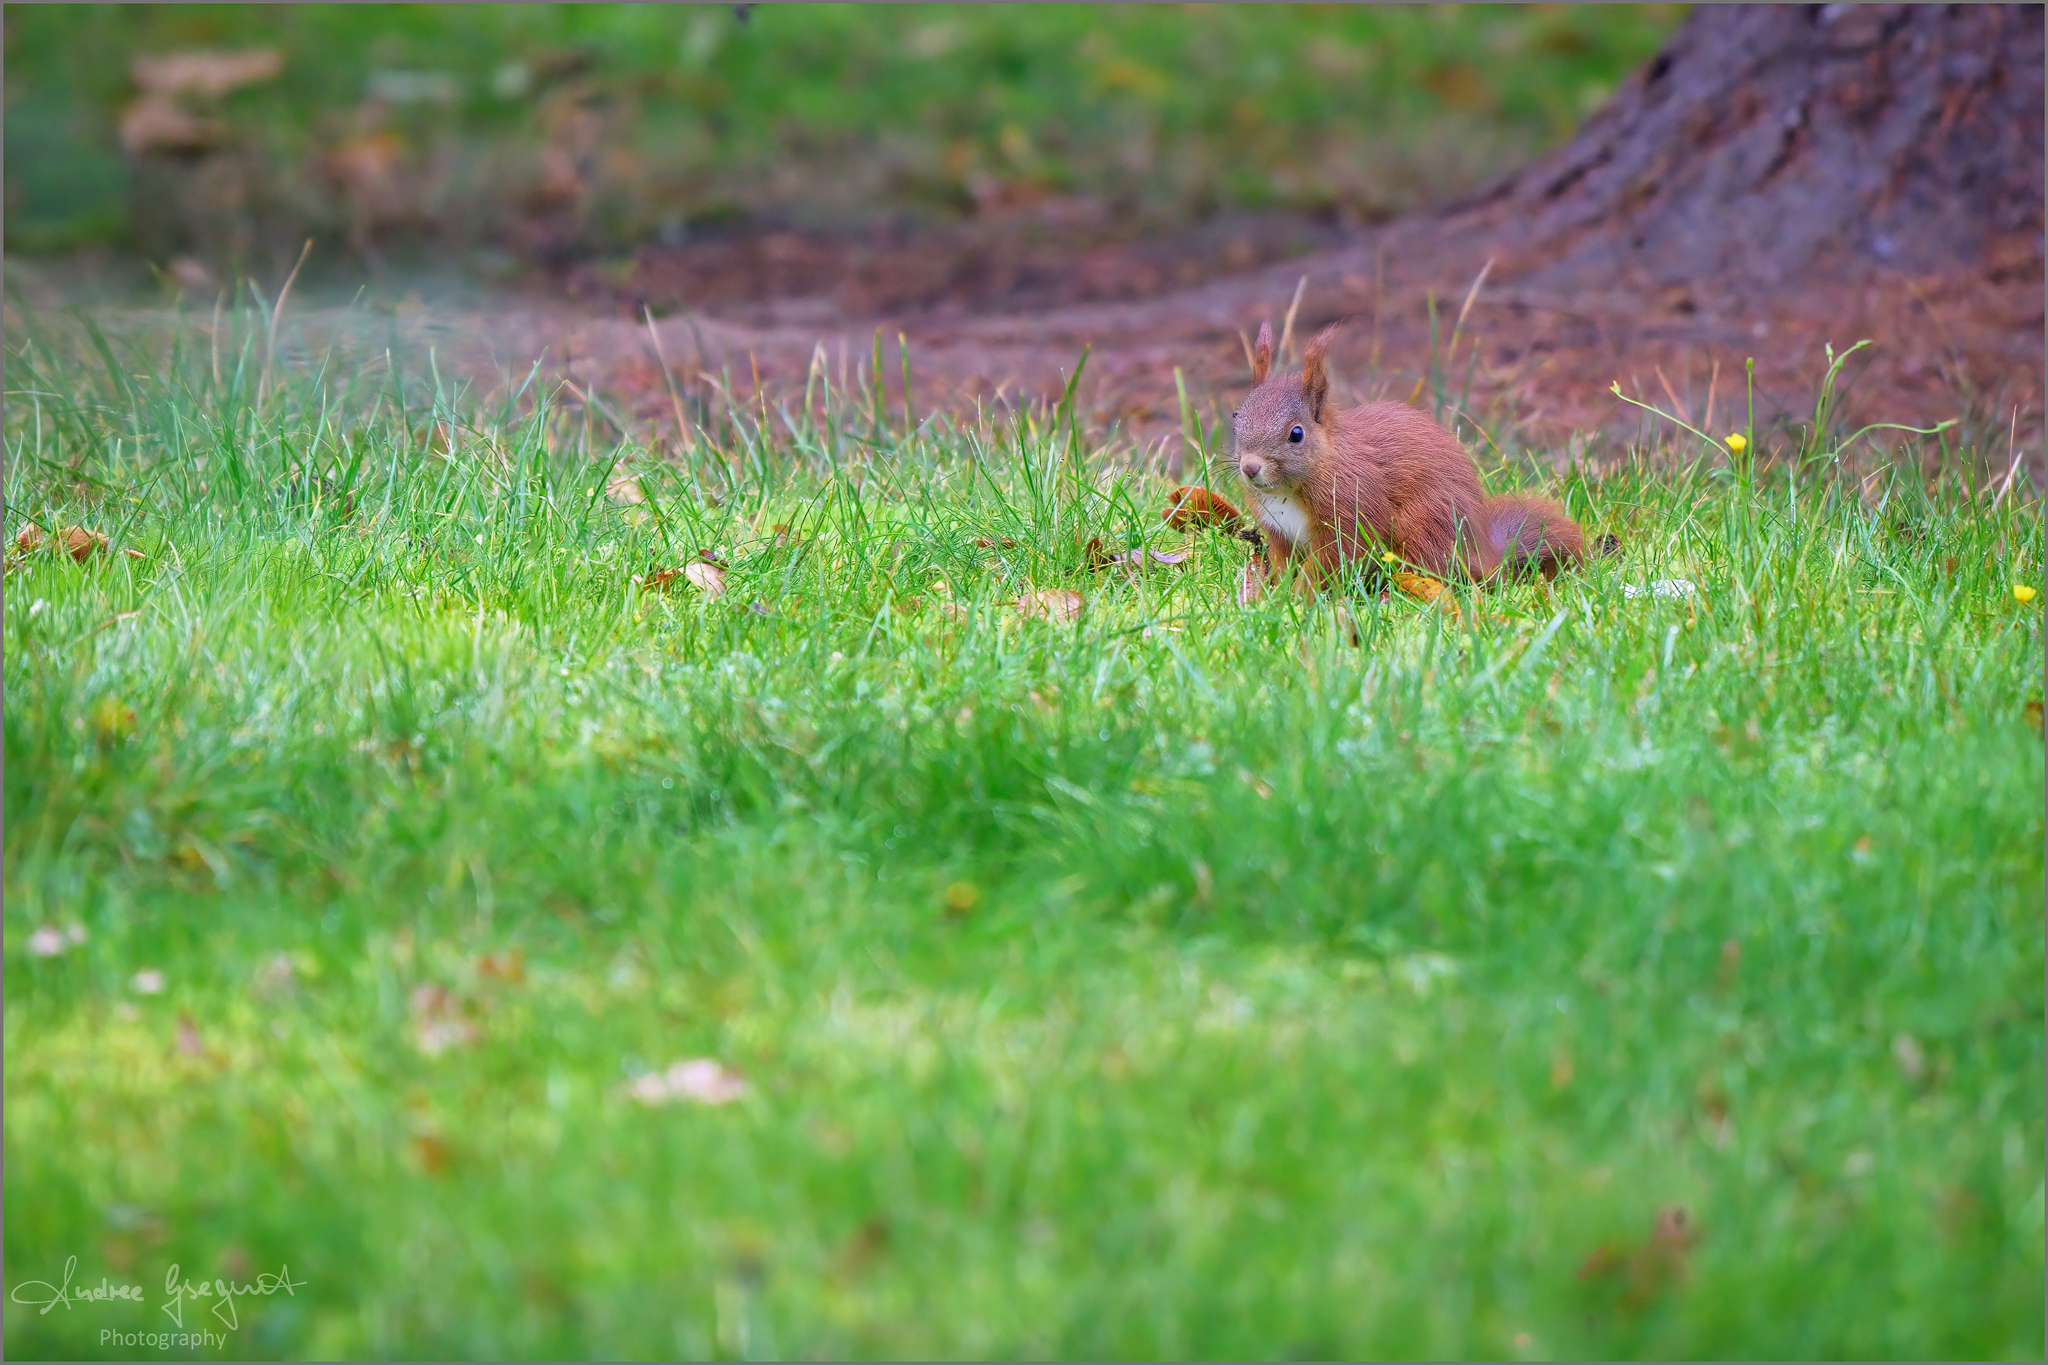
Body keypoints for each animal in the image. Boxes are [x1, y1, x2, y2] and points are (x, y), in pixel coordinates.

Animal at [1169, 320, 1591, 599]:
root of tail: (1484, 554)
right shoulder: (1279, 531)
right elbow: (1284, 562)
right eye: (1236, 417)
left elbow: (1331, 561)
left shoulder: (1351, 512)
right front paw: (1270, 594)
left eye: (1296, 434)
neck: (1292, 488)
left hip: (1424, 525)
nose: (1250, 467)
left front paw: (1298, 598)